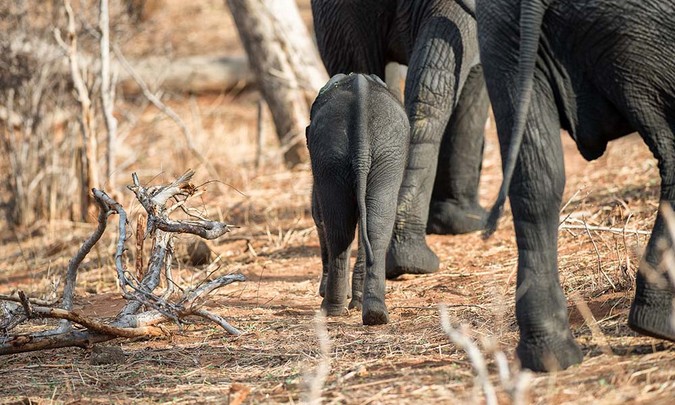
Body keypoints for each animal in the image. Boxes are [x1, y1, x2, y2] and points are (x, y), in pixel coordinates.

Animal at [308, 73, 412, 326]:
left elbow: (319, 218)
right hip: (381, 154)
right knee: (375, 227)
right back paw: (374, 314)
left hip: (333, 156)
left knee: (338, 230)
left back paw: (331, 309)